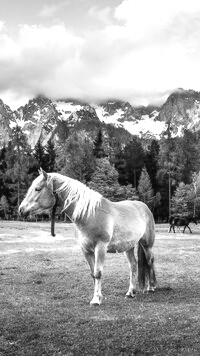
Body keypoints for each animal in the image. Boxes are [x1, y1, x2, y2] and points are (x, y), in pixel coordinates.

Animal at [18, 168, 156, 304]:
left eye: (37, 189)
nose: (21, 210)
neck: (89, 215)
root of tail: (144, 206)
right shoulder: (85, 250)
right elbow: (93, 274)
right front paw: (97, 296)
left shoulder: (100, 247)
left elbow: (98, 273)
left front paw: (96, 300)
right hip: (128, 247)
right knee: (133, 265)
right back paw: (131, 292)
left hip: (147, 244)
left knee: (150, 261)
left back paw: (151, 287)